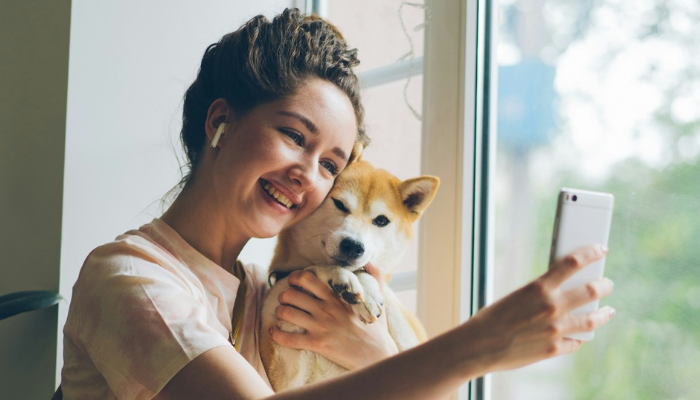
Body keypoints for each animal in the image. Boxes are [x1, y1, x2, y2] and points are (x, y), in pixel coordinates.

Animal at [260, 155, 440, 390]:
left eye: (381, 220)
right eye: (339, 204)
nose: (353, 246)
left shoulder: (408, 336)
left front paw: (368, 292)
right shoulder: (286, 374)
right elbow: (312, 267)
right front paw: (341, 276)